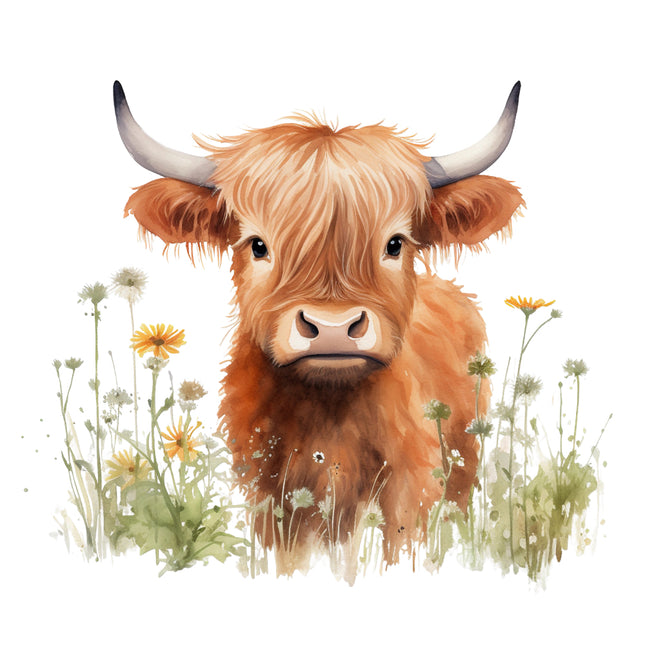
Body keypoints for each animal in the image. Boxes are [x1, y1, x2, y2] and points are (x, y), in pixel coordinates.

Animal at [113, 81, 523, 573]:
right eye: (258, 245)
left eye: (394, 244)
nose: (332, 327)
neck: (330, 419)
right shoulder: (270, 499)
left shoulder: (413, 490)